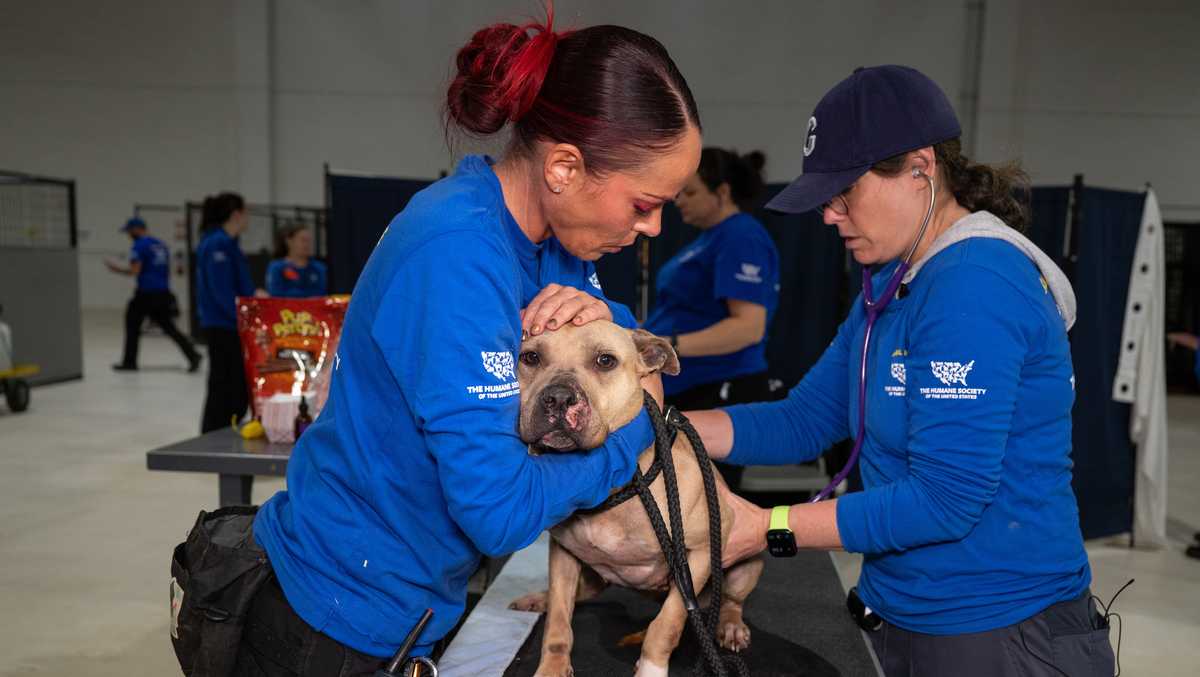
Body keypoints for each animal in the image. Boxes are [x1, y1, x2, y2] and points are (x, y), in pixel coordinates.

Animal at [506, 321, 758, 677]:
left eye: (605, 361)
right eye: (529, 357)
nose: (557, 398)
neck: (608, 487)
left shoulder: (698, 555)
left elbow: (667, 623)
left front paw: (651, 667)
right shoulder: (563, 554)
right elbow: (558, 620)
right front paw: (552, 666)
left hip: (746, 565)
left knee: (732, 602)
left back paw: (731, 625)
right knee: (577, 594)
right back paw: (539, 598)